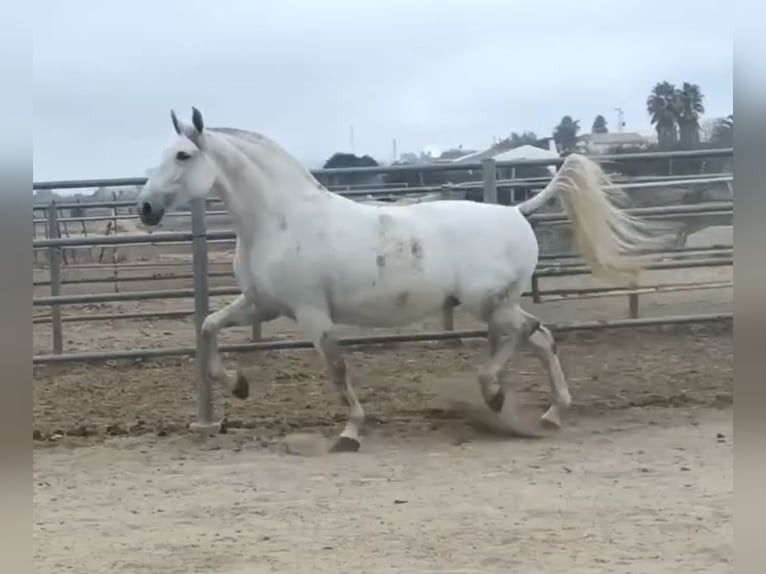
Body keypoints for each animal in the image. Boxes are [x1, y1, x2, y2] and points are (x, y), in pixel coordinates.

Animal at [138, 108, 680, 454]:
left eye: (183, 156)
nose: (144, 209)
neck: (281, 220)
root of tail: (516, 211)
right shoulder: (261, 304)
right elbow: (207, 327)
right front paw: (237, 385)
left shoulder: (312, 314)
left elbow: (336, 368)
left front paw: (350, 433)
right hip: (496, 303)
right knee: (542, 335)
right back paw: (548, 412)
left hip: (489, 302)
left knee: (529, 331)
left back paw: (495, 393)